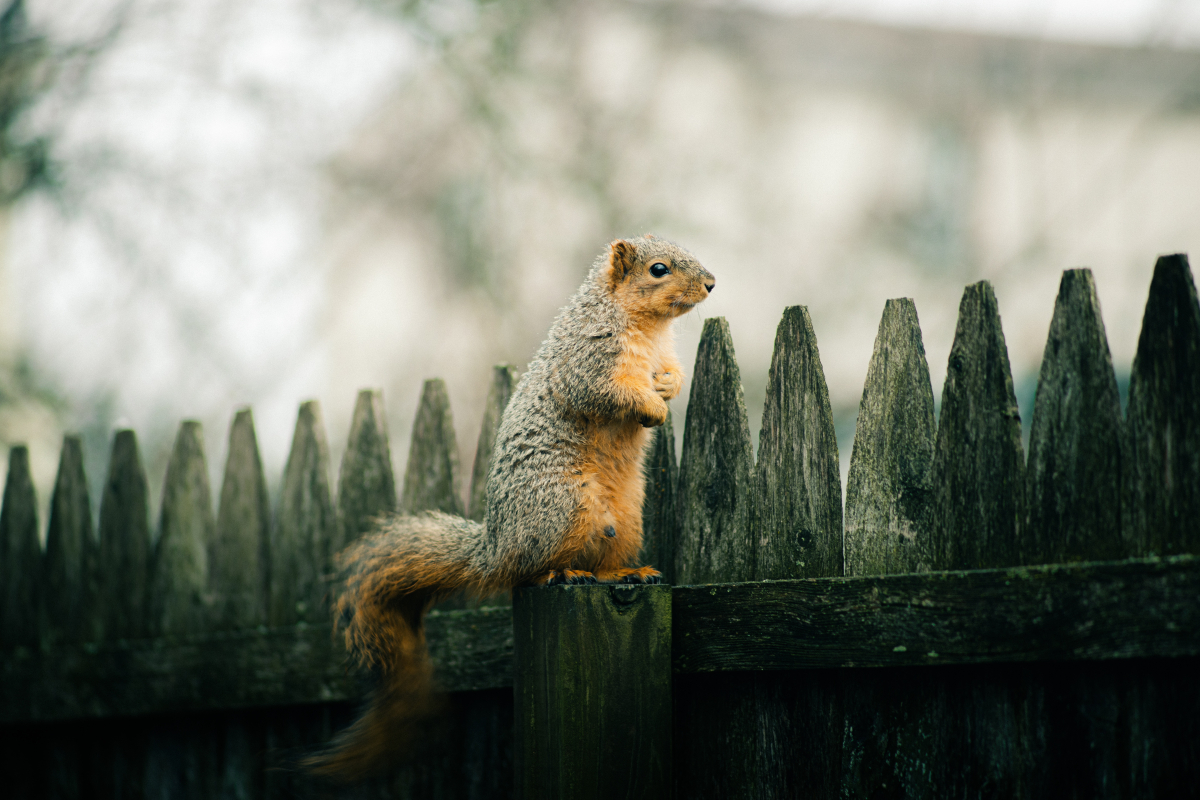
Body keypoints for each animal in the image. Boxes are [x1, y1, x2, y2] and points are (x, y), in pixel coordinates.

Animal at [314, 235, 715, 777]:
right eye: (658, 269)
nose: (711, 283)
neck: (647, 328)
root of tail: (496, 548)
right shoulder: (588, 363)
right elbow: (608, 393)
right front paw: (652, 408)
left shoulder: (659, 356)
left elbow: (671, 373)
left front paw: (668, 388)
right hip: (563, 507)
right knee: (527, 573)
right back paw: (561, 575)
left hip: (627, 517)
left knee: (599, 563)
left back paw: (625, 573)